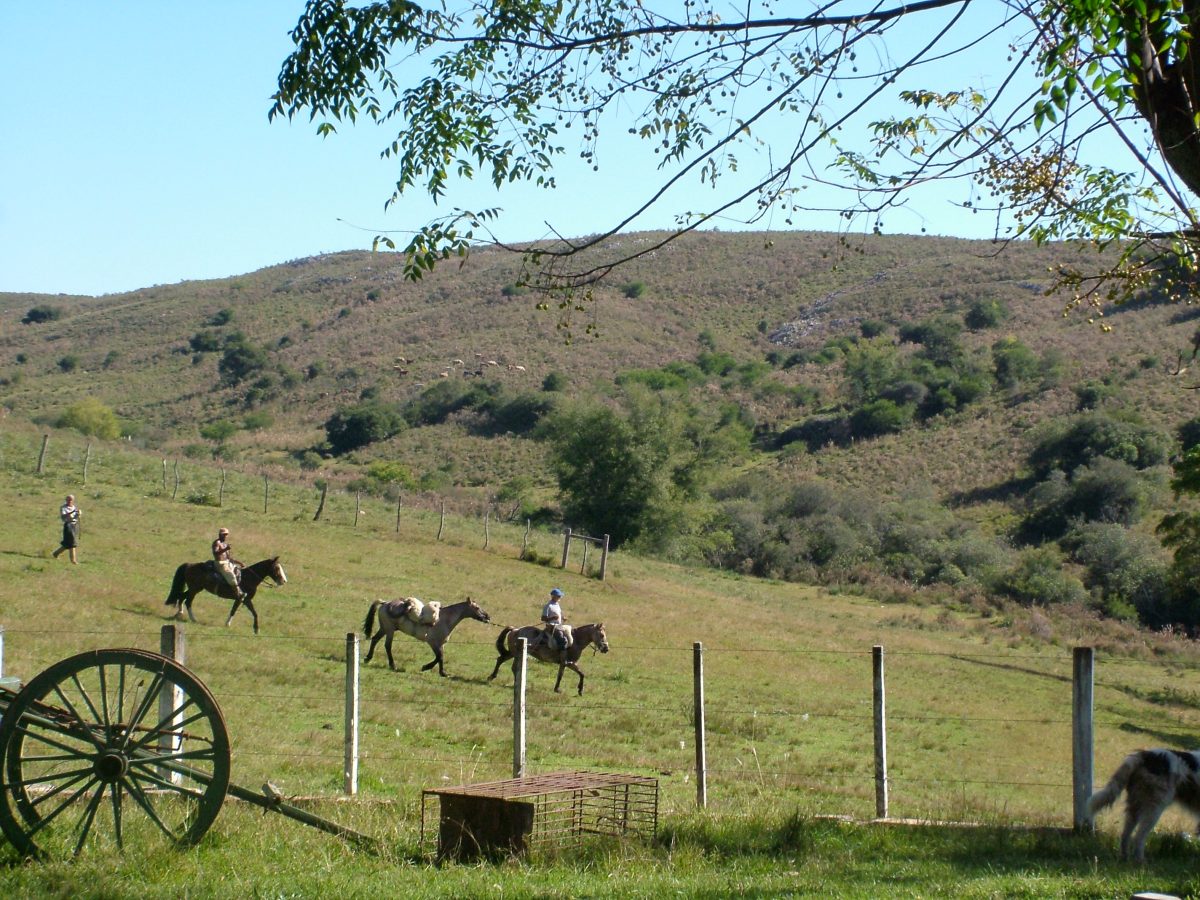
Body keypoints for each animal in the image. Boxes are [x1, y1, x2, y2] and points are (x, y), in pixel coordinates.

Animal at [357, 600, 489, 676]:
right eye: (477, 608)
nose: (488, 617)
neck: (443, 620)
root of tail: (385, 604)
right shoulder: (433, 643)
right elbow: (439, 657)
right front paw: (426, 667)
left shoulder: (441, 644)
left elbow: (441, 657)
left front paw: (443, 673)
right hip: (389, 630)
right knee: (387, 646)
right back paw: (393, 665)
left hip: (384, 629)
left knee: (375, 639)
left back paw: (368, 658)